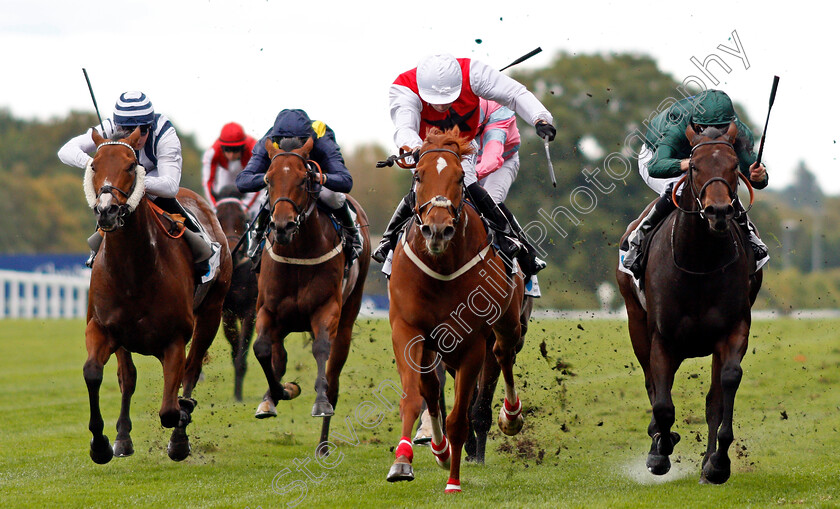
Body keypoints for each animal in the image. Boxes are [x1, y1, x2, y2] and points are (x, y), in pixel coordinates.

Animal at [83, 129, 231, 462]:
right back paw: (123, 438)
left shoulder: (174, 338)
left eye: (130, 165)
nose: (107, 210)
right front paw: (101, 443)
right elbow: (94, 373)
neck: (134, 270)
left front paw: (181, 425)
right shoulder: (102, 327)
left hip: (211, 313)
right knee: (127, 378)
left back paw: (180, 432)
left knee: (191, 369)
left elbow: (169, 408)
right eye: (94, 165)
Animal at [253, 136, 370, 452]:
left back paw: (324, 443)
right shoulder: (267, 309)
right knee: (278, 356)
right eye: (268, 179)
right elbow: (262, 350)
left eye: (304, 178)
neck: (298, 251)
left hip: (347, 316)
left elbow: (320, 349)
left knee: (334, 374)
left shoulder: (326, 308)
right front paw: (280, 393)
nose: (282, 226)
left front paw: (319, 402)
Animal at [386, 128, 524, 492]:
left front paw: (454, 482)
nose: (437, 228)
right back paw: (439, 449)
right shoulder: (408, 330)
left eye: (461, 177)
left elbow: (460, 417)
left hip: (508, 322)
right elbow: (413, 396)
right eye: (418, 175)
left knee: (504, 355)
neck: (441, 265)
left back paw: (511, 415)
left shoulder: (471, 343)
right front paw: (403, 461)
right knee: (431, 389)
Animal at [612, 121, 764, 482]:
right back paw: (659, 439)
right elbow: (662, 402)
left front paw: (718, 462)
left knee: (712, 396)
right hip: (636, 322)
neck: (700, 261)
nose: (719, 211)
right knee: (651, 383)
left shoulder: (733, 330)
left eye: (734, 166)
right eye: (694, 167)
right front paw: (659, 451)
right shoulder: (662, 337)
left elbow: (725, 387)